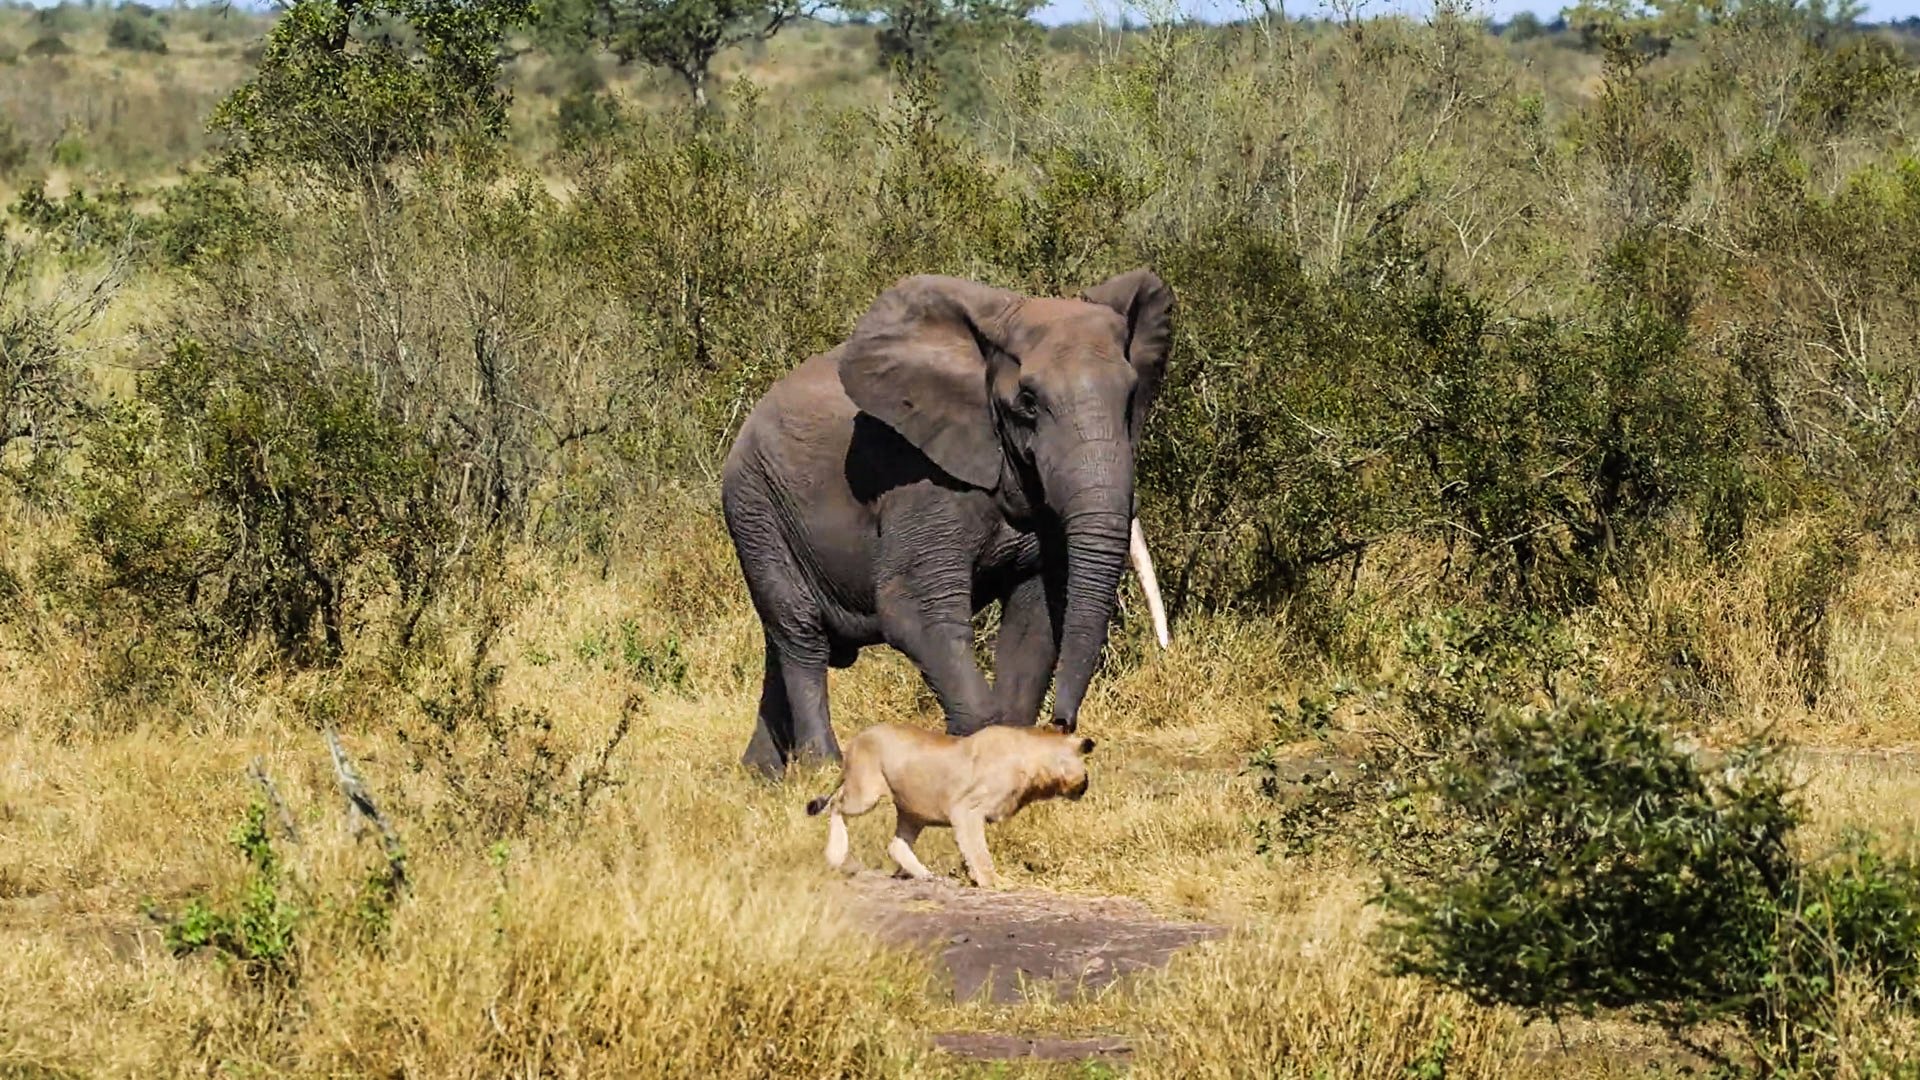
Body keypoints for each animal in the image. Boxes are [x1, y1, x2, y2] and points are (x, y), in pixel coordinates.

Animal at [720, 268, 1175, 778]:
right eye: (1029, 402)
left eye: (1132, 397)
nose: (1063, 724)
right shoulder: (919, 482)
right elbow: (913, 609)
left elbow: (1035, 617)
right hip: (756, 506)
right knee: (801, 634)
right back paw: (821, 769)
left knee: (779, 641)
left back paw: (761, 775)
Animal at [804, 722, 1096, 888]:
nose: (1086, 785)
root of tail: (857, 738)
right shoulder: (966, 809)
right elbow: (978, 850)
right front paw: (993, 882)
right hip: (865, 794)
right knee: (836, 804)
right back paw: (836, 854)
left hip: (913, 810)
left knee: (896, 844)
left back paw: (926, 875)